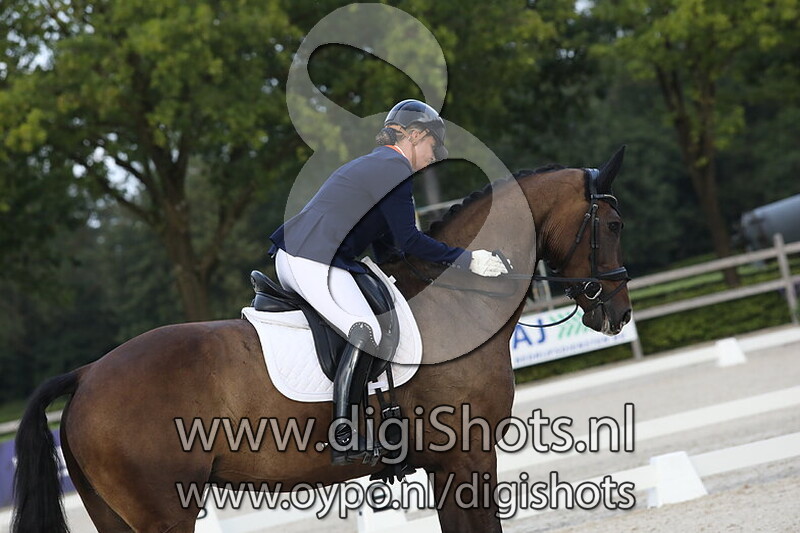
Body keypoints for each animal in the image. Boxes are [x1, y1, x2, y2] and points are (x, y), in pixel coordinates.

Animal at [12, 148, 632, 533]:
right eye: (613, 226)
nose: (619, 314)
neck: (460, 301)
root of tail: (87, 374)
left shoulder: (447, 465)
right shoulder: (468, 458)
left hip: (114, 512)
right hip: (164, 512)